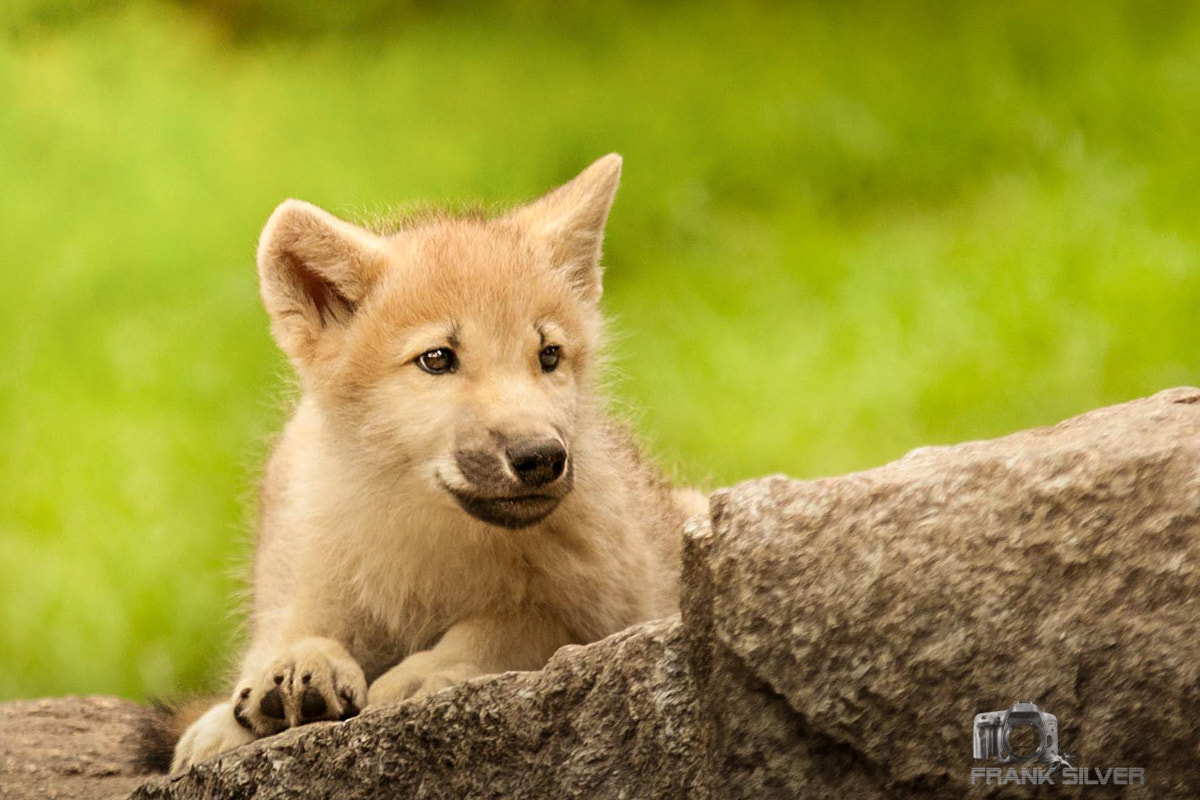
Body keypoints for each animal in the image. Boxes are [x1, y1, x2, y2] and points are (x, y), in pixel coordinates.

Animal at [168, 154, 706, 771]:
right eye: (436, 359)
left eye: (549, 355)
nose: (542, 457)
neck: (426, 536)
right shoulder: (306, 582)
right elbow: (289, 637)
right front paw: (279, 680)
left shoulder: (607, 607)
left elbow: (511, 624)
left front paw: (421, 673)